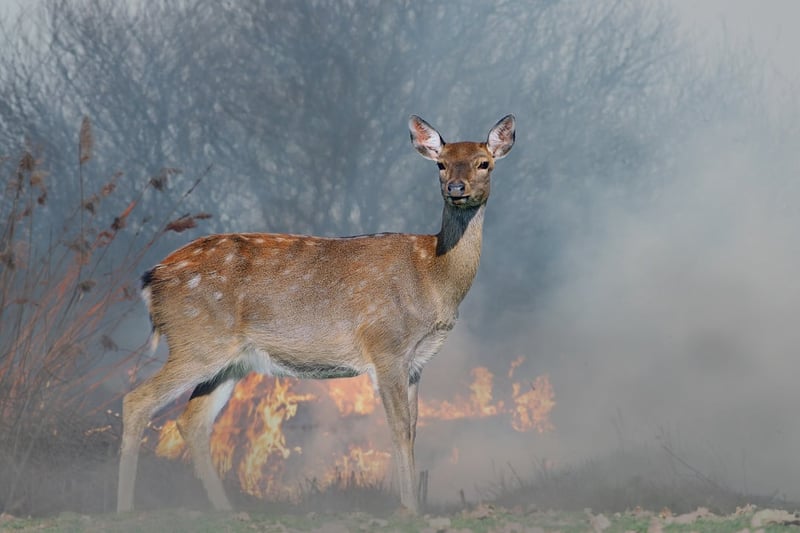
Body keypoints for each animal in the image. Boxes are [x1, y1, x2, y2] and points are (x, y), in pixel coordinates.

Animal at [115, 114, 516, 512]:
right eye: (440, 164)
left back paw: (227, 510)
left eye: (484, 163)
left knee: (193, 421)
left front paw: (414, 503)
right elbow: (399, 429)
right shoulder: (385, 346)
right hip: (197, 341)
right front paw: (410, 509)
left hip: (231, 359)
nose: (456, 187)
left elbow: (414, 429)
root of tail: (152, 280)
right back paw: (125, 507)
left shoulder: (416, 362)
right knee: (137, 400)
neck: (433, 276)